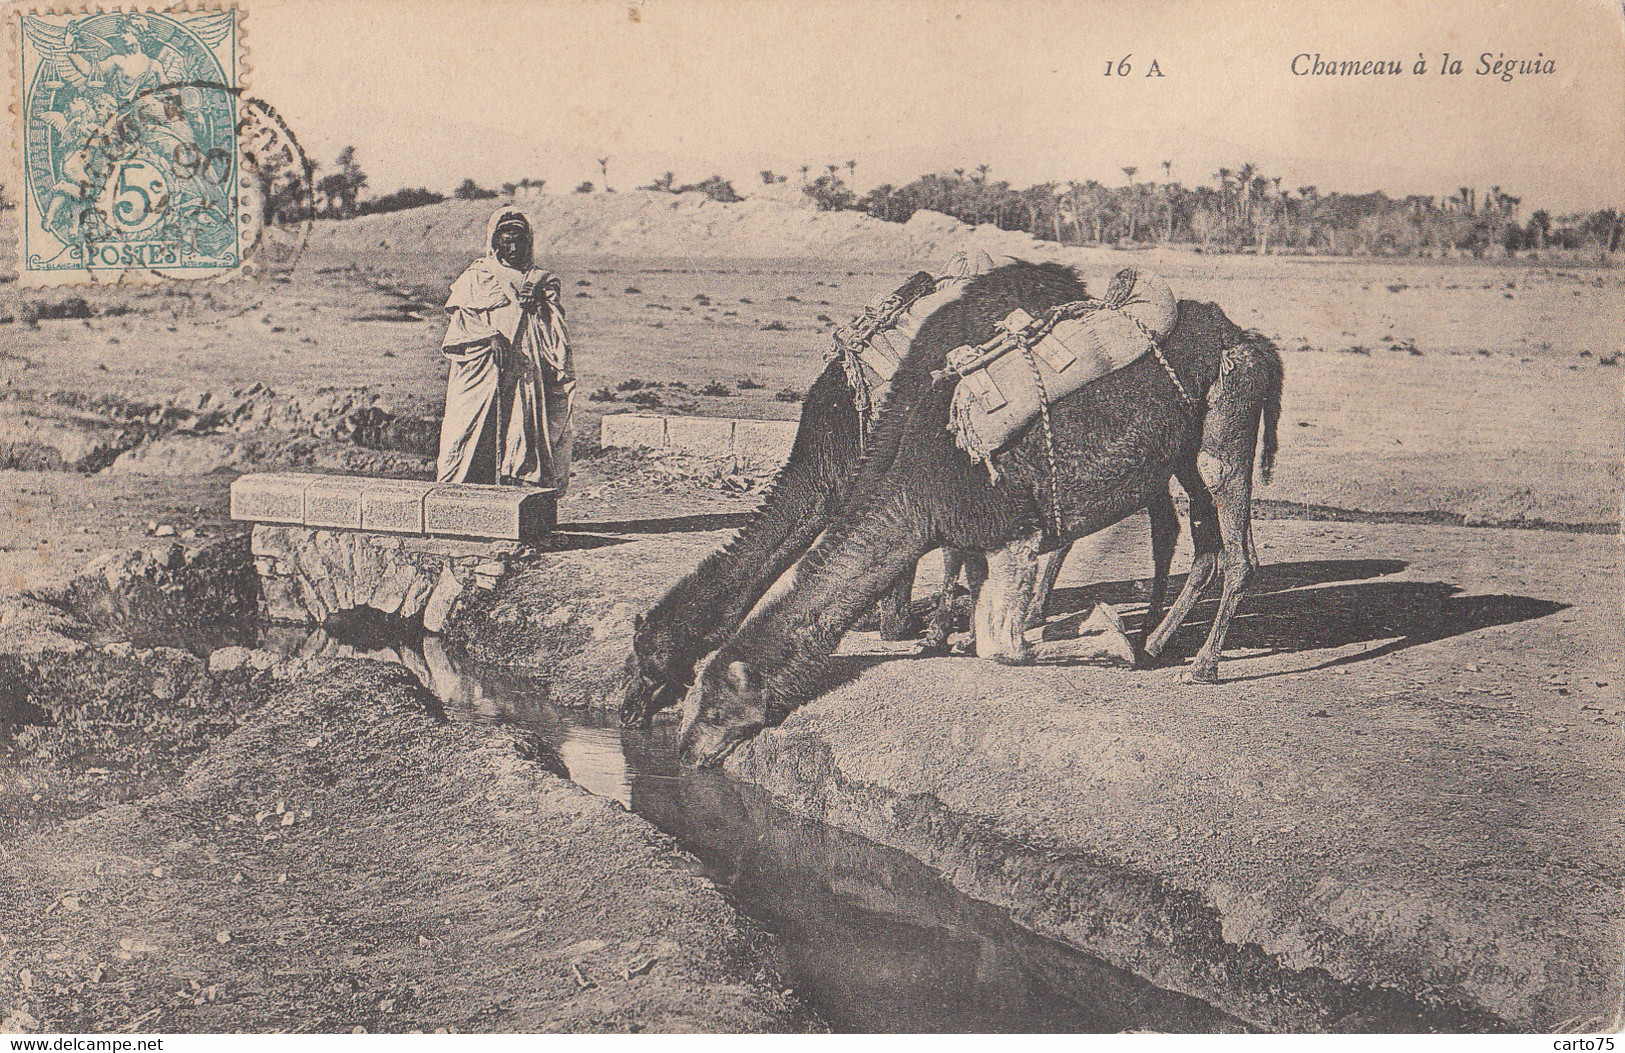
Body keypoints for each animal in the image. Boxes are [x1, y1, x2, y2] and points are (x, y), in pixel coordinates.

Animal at [676, 258, 1280, 760]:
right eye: (690, 696)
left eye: (714, 706)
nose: (684, 751)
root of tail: (1248, 340)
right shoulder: (974, 535)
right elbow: (975, 603)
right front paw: (953, 633)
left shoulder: (1011, 533)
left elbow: (1001, 648)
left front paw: (1105, 633)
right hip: (1179, 456)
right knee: (1201, 544)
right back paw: (1157, 640)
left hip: (1225, 425)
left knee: (1237, 548)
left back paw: (1200, 666)